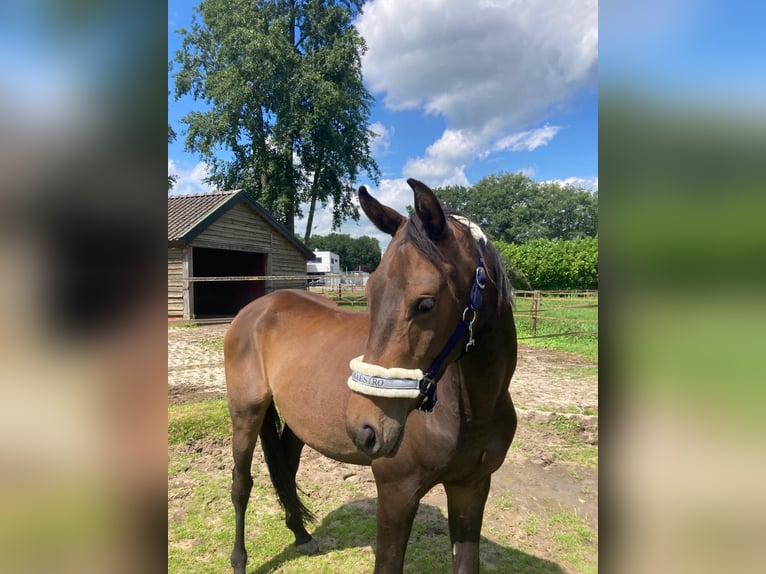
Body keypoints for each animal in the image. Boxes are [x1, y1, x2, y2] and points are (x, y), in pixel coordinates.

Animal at [225, 178, 520, 572]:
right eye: (370, 291)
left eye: (425, 303)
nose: (364, 429)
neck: (472, 412)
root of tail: (254, 310)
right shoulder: (397, 493)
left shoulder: (471, 488)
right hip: (246, 412)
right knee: (241, 483)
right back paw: (240, 559)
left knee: (286, 470)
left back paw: (301, 535)